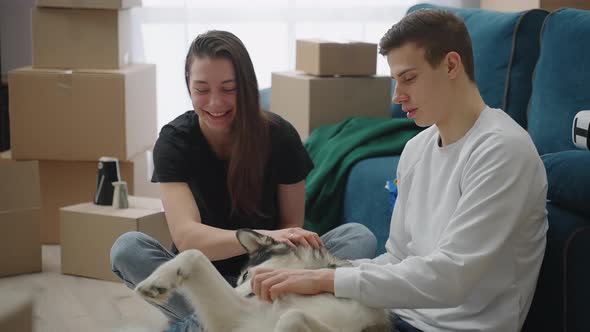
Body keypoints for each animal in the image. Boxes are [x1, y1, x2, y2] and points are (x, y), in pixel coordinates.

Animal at [135, 230, 394, 330]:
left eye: (246, 275)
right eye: (239, 278)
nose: (235, 291)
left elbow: (292, 316)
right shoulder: (237, 319)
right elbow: (195, 254)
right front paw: (157, 281)